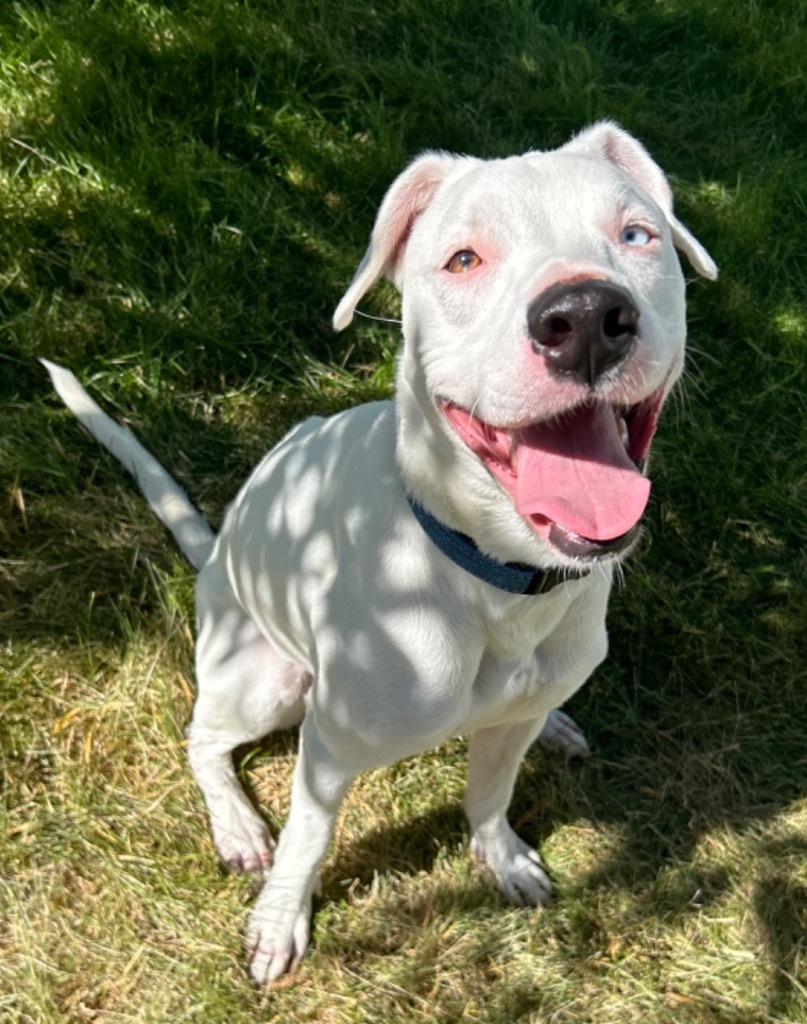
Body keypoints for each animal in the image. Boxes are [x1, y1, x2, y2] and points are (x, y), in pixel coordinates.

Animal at [40, 119, 716, 983]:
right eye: (462, 260)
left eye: (636, 235)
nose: (587, 315)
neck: (495, 578)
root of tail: (217, 556)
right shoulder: (325, 752)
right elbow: (307, 841)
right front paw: (278, 924)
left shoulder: (502, 728)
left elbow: (489, 794)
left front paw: (501, 858)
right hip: (263, 682)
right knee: (203, 739)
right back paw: (236, 825)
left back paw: (555, 726)